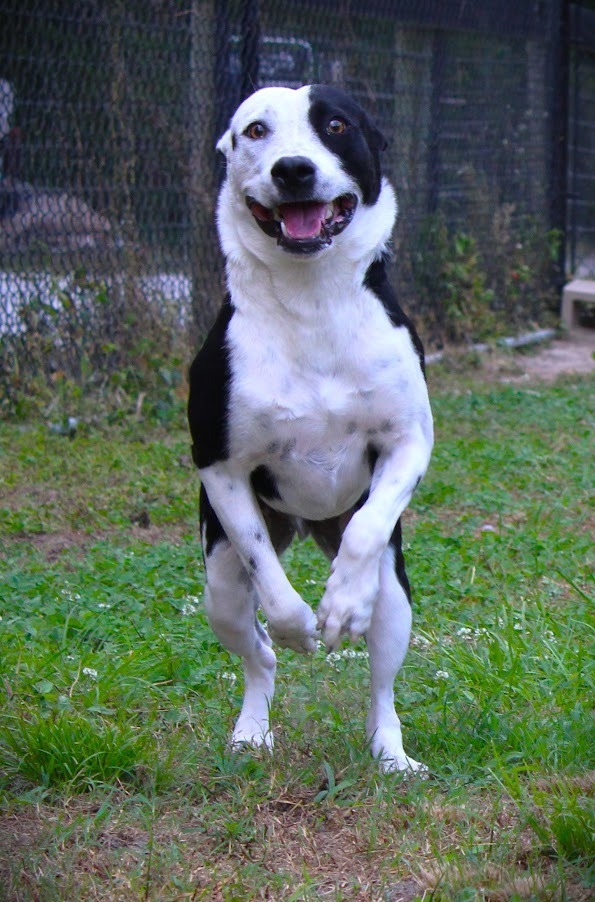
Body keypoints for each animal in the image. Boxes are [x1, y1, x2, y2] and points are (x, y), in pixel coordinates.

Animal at [189, 85, 436, 772]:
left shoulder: (409, 441)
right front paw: (300, 622)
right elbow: (267, 576)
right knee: (259, 654)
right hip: (220, 590)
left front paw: (340, 606)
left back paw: (391, 754)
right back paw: (252, 729)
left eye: (336, 125)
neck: (312, 299)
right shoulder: (220, 465)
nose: (293, 170)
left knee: (381, 685)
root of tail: (305, 524)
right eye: (255, 130)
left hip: (395, 599)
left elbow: (367, 529)